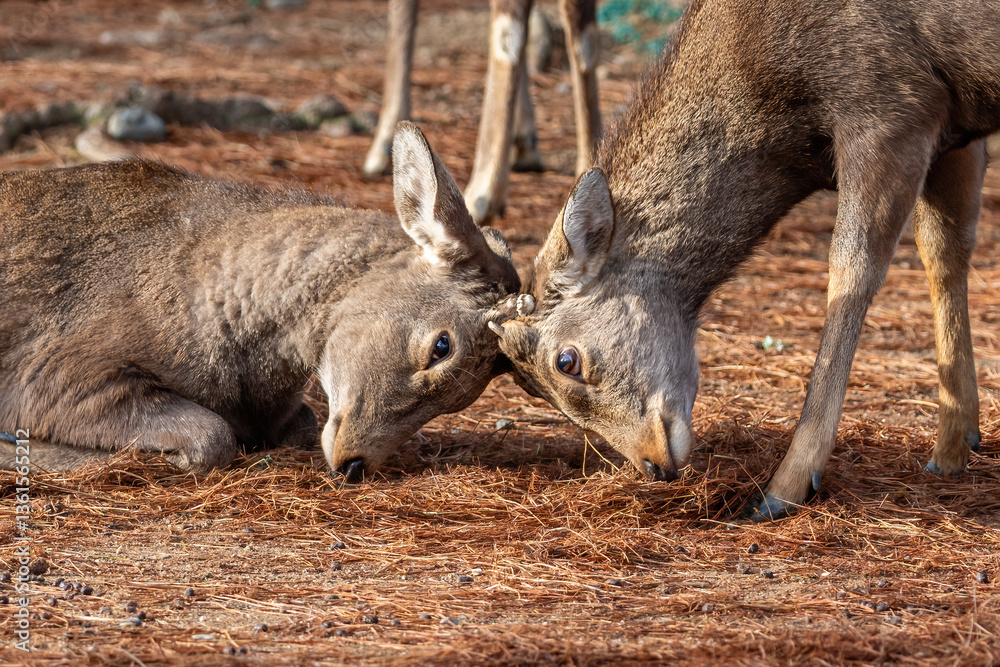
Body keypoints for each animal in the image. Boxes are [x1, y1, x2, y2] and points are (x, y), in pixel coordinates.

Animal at [0, 122, 519, 483]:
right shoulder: (57, 374)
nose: (354, 465)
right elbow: (212, 437)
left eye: (463, 401)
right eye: (441, 346)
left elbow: (299, 424)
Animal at [493, 0, 1000, 519]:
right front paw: (953, 446)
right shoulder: (956, 129)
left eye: (566, 361)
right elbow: (944, 249)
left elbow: (852, 270)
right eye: (529, 388)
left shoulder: (893, 108)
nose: (653, 466)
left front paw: (784, 486)